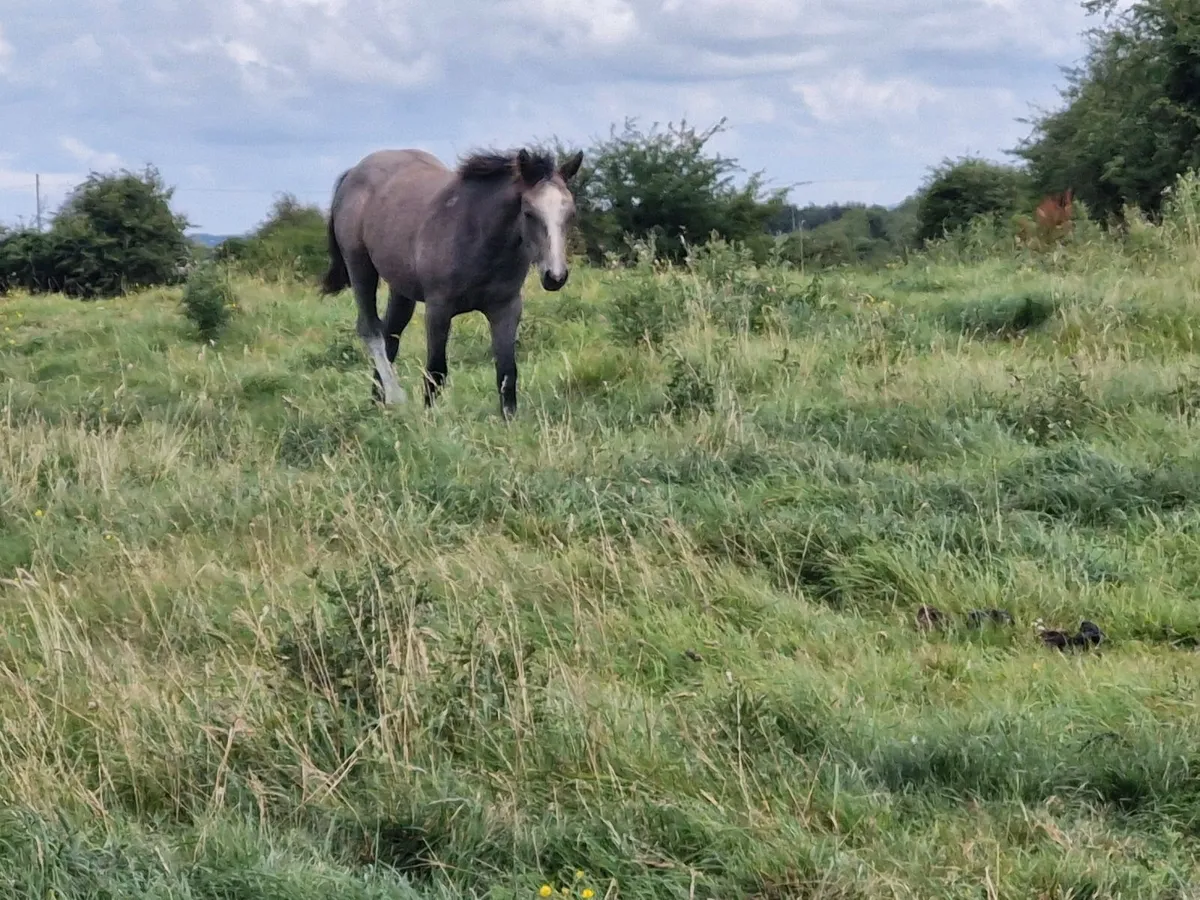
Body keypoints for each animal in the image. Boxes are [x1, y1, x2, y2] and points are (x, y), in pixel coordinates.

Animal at [319, 146, 584, 418]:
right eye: (529, 213)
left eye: (570, 213)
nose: (555, 276)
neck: (479, 237)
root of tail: (353, 173)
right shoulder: (438, 309)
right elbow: (436, 370)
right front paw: (430, 418)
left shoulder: (506, 308)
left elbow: (507, 371)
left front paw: (509, 421)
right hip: (360, 266)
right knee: (370, 329)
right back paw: (395, 397)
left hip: (401, 288)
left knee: (390, 333)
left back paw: (377, 401)